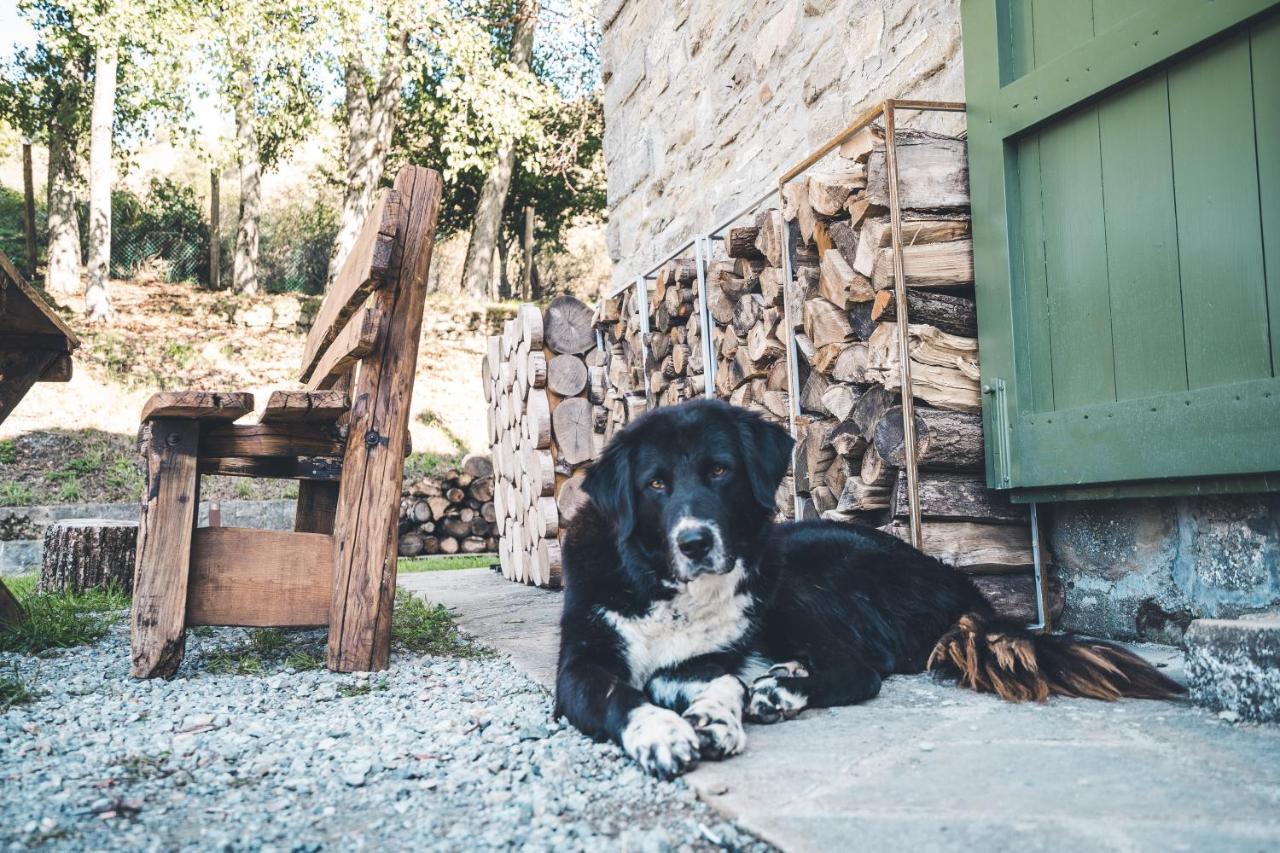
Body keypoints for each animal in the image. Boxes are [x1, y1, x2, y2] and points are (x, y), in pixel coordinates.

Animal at [555, 399, 1182, 778]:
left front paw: (711, 718)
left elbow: (722, 680)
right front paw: (667, 729)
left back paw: (780, 690)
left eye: (718, 471)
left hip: (803, 574)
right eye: (655, 484)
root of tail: (960, 587)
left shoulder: (711, 652)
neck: (664, 590)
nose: (694, 542)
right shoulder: (582, 667)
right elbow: (623, 692)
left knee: (863, 669)